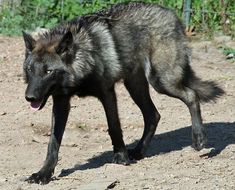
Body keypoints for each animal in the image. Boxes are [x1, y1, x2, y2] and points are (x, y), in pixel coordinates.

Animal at [22, 1, 224, 184]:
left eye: (48, 71)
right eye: (31, 70)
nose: (29, 97)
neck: (84, 55)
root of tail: (171, 14)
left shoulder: (107, 93)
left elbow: (114, 127)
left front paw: (121, 157)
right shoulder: (61, 102)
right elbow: (53, 142)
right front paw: (43, 173)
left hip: (161, 82)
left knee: (191, 96)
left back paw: (199, 139)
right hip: (135, 86)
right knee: (153, 115)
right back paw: (138, 151)